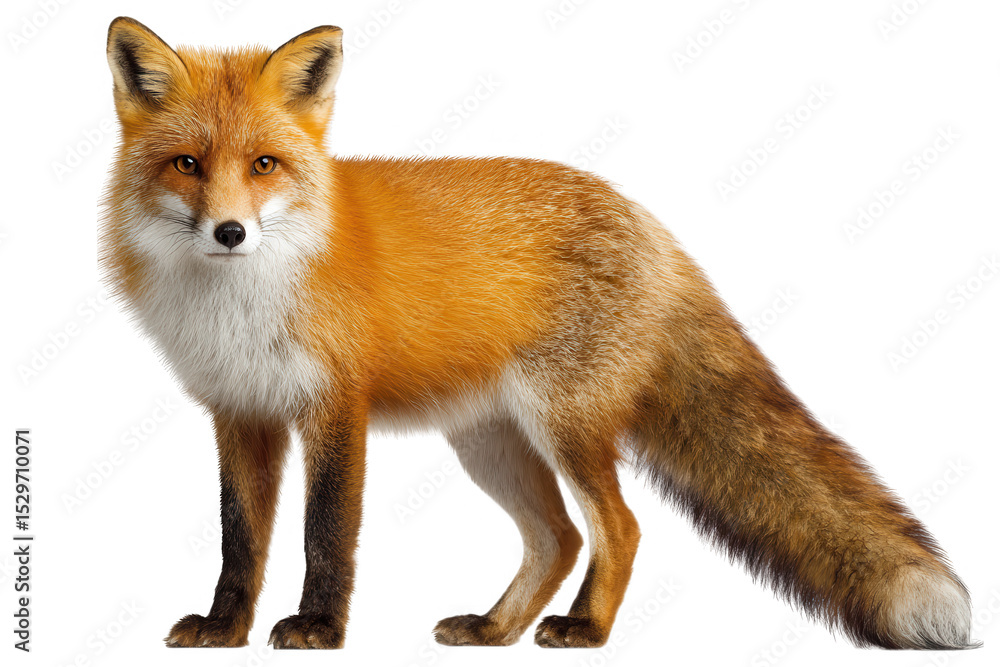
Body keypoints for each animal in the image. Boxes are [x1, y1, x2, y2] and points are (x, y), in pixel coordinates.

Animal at [100, 16, 977, 651]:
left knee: (616, 527)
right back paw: (496, 628)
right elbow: (239, 539)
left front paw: (318, 627)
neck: (241, 300)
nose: (229, 232)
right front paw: (225, 628)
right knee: (555, 537)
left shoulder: (335, 409)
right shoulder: (240, 413)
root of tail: (649, 223)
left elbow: (326, 535)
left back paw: (585, 628)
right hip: (489, 441)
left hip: (565, 425)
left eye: (264, 165)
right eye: (186, 163)